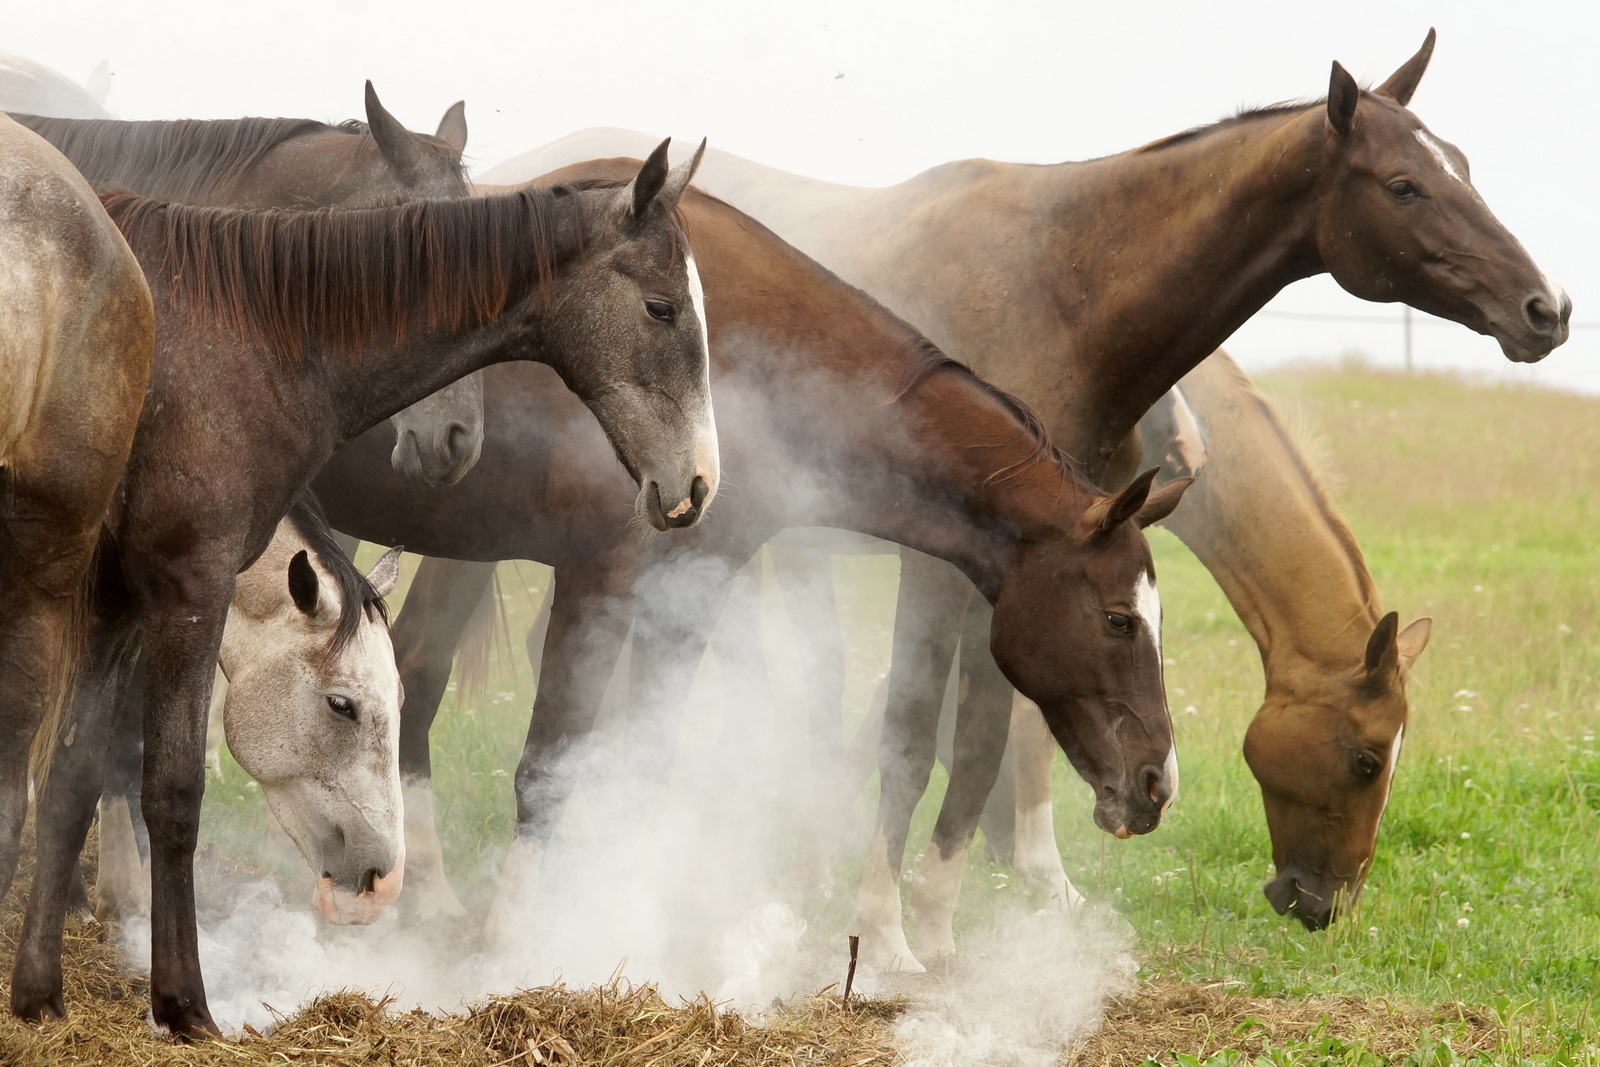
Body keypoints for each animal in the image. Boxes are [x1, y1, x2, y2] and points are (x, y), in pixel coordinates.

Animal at [308, 173, 1190, 966]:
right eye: (1118, 618)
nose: (1157, 783)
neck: (760, 360)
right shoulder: (604, 581)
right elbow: (554, 767)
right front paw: (528, 940)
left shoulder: (693, 587)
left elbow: (646, 764)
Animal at [483, 31, 1561, 934]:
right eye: (1404, 184)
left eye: (1464, 165)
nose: (1545, 308)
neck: (1069, 292)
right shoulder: (954, 559)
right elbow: (920, 730)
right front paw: (891, 918)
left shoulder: (1051, 553)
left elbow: (1005, 728)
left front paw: (978, 888)